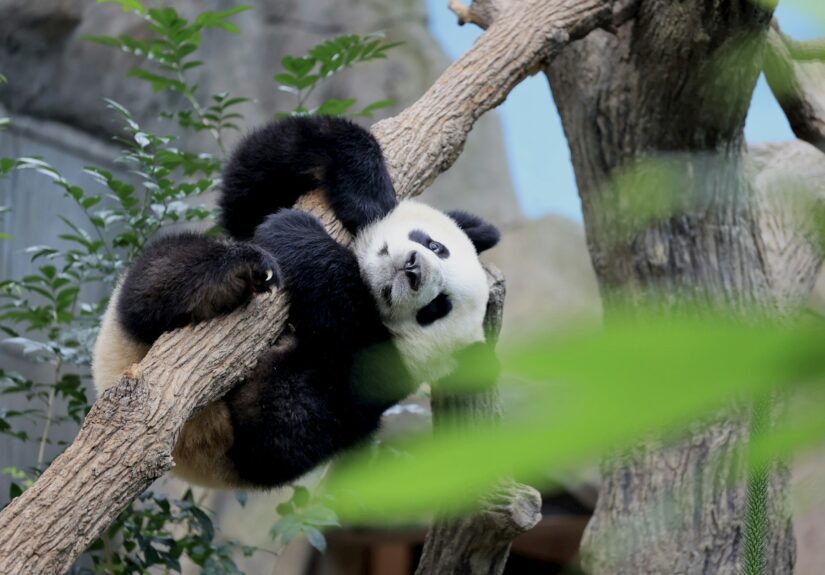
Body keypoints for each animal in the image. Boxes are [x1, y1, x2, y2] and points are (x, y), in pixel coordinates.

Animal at [92, 116, 501, 489]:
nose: (414, 267)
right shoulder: (257, 206)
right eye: (436, 246)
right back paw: (229, 275)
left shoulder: (383, 372)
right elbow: (254, 178)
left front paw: (300, 237)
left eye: (436, 309)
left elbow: (315, 397)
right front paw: (368, 196)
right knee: (163, 270)